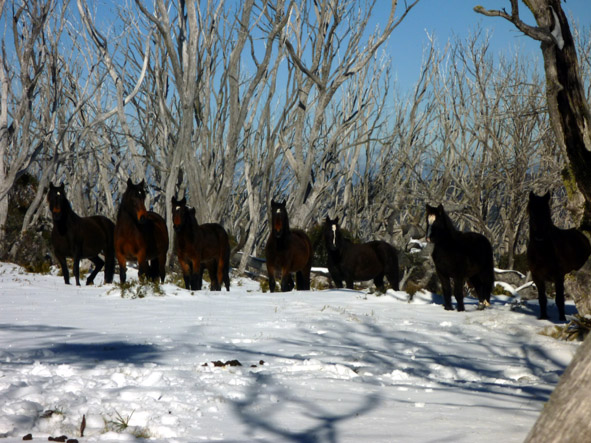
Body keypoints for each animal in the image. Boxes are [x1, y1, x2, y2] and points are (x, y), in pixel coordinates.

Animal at [528, 190, 591, 320]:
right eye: (532, 212)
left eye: (547, 212)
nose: (539, 236)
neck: (542, 253)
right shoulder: (537, 277)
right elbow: (542, 299)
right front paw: (543, 317)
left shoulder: (559, 276)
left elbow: (559, 300)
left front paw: (562, 319)